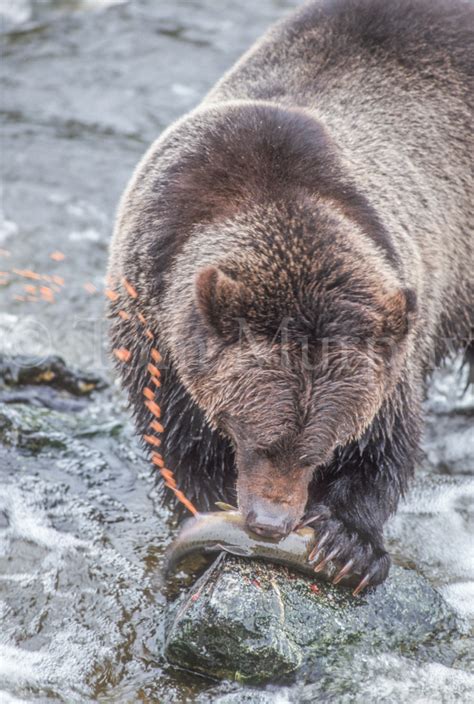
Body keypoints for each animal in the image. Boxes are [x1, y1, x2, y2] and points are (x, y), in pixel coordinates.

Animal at [107, 0, 474, 592]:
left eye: (316, 452)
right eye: (259, 439)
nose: (271, 523)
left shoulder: (392, 328)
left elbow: (386, 445)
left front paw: (349, 542)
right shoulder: (155, 330)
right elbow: (176, 442)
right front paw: (206, 510)